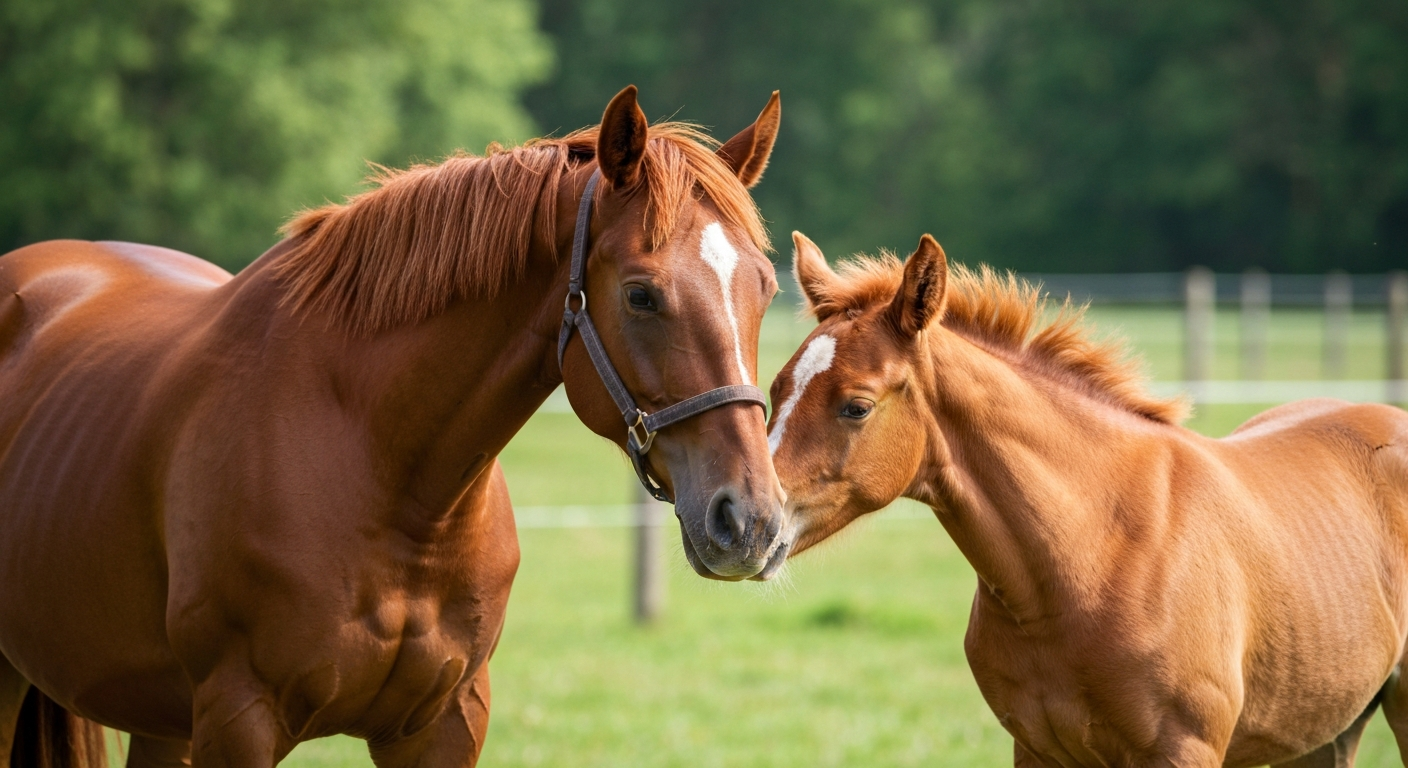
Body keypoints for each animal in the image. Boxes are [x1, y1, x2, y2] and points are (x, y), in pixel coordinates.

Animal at [0, 85, 789, 768]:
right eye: (641, 295)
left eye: (766, 286)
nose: (750, 522)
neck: (387, 478)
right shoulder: (237, 720)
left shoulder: (444, 723)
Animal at [764, 231, 1408, 767]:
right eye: (774, 389)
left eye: (857, 406)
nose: (750, 524)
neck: (1093, 552)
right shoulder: (1036, 750)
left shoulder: (1184, 750)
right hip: (1323, 728)